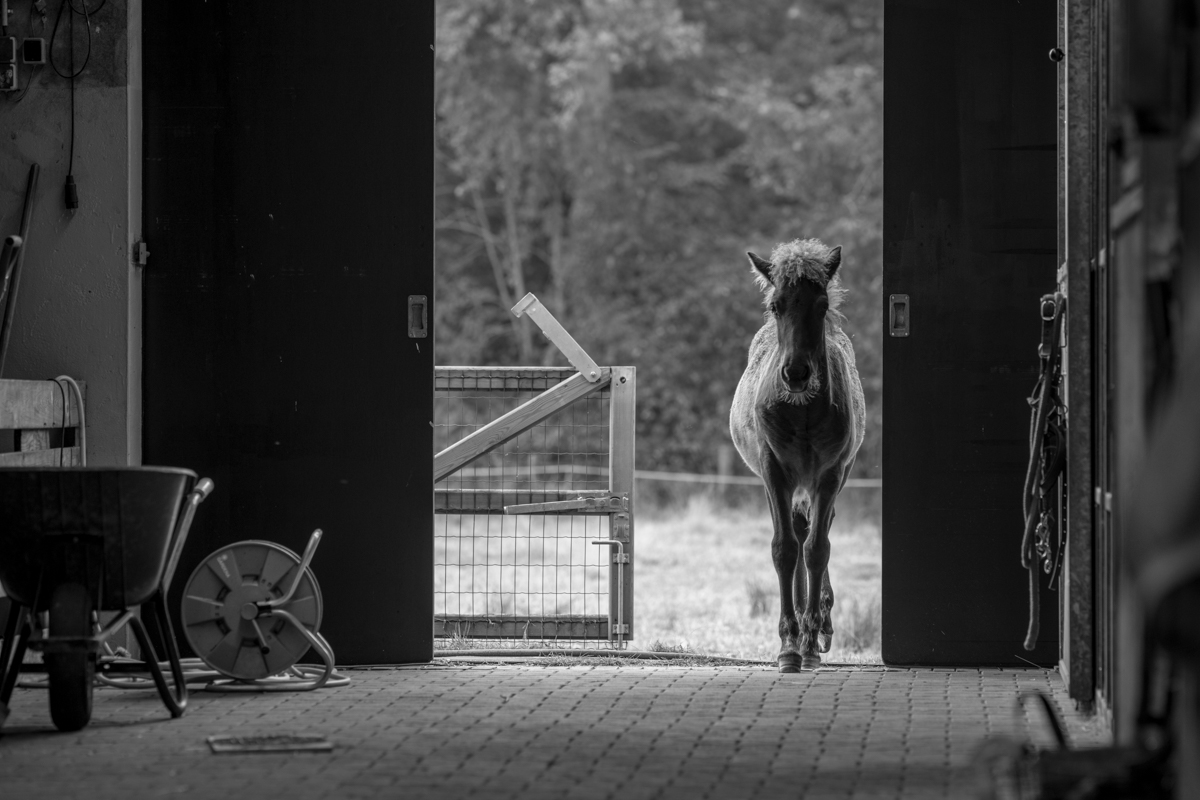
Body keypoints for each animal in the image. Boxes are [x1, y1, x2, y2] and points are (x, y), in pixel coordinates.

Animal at [724, 241, 868, 671]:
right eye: (776, 306)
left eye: (822, 305)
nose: (797, 373)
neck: (802, 410)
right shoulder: (774, 473)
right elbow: (784, 549)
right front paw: (789, 645)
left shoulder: (830, 474)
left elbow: (817, 549)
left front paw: (809, 638)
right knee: (798, 532)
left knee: (815, 534)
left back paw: (818, 626)